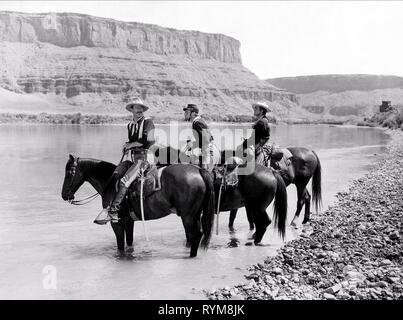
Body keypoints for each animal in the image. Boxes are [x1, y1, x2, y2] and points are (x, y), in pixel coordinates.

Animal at [60, 154, 216, 256]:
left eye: (69, 172)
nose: (64, 195)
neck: (109, 182)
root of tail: (198, 170)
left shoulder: (117, 223)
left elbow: (120, 245)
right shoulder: (129, 221)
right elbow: (129, 242)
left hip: (188, 217)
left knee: (196, 235)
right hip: (196, 215)